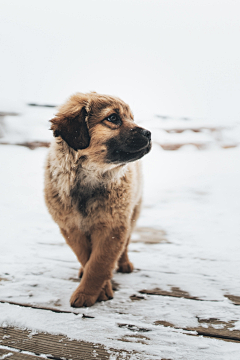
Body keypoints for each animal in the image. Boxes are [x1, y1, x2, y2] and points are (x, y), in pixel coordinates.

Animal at [44, 92, 151, 306]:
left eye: (131, 118)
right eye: (113, 118)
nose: (149, 134)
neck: (89, 178)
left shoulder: (113, 227)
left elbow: (99, 263)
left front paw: (87, 294)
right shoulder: (71, 227)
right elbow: (87, 258)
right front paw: (96, 290)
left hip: (133, 212)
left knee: (126, 244)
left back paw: (124, 263)